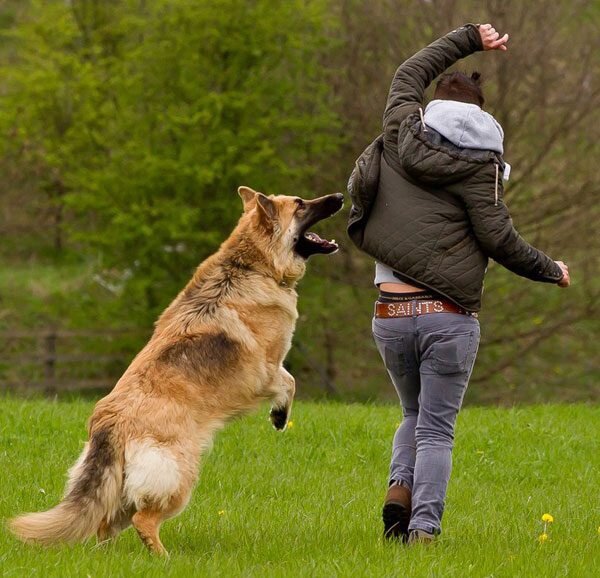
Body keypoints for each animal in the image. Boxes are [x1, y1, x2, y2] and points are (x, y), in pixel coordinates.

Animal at [10, 186, 342, 552]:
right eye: (300, 205)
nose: (340, 196)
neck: (251, 265)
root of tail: (111, 422)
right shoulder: (267, 368)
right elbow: (290, 381)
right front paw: (279, 416)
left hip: (120, 488)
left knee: (105, 522)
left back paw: (109, 555)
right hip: (179, 475)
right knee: (143, 520)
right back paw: (163, 556)